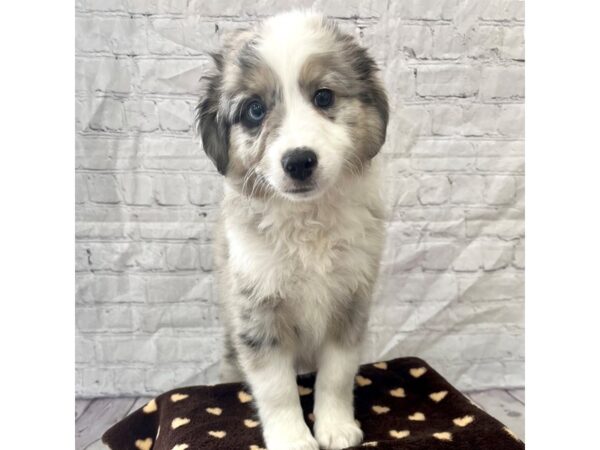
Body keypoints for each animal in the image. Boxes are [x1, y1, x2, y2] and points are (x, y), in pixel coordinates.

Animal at [197, 10, 390, 450]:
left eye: (324, 97)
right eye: (254, 110)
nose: (299, 161)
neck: (307, 220)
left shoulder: (350, 303)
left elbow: (336, 377)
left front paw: (335, 427)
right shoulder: (256, 314)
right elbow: (277, 388)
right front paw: (292, 438)